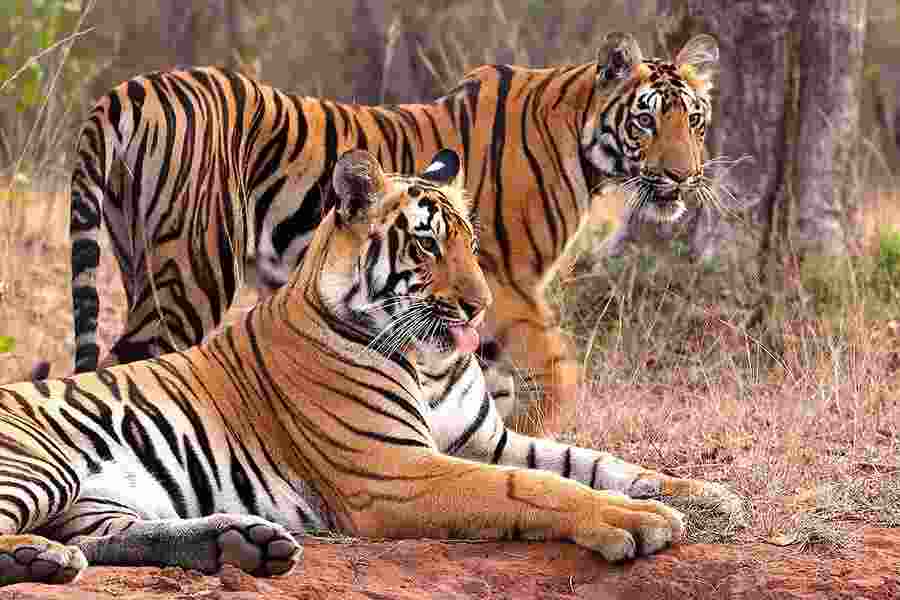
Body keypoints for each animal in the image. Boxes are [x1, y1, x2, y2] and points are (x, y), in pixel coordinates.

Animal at [1, 148, 743, 587]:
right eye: (427, 244)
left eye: (471, 243)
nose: (480, 307)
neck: (429, 361)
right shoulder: (397, 471)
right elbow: (530, 488)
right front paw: (632, 521)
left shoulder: (485, 438)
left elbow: (593, 461)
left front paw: (707, 496)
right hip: (43, 465)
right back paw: (44, 557)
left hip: (98, 499)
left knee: (111, 538)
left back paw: (238, 545)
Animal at [69, 32, 721, 436]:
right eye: (646, 119)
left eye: (693, 119)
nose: (682, 176)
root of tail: (128, 89)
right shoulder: (506, 283)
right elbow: (557, 374)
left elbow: (489, 385)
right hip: (194, 272)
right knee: (133, 365)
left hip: (138, 258)